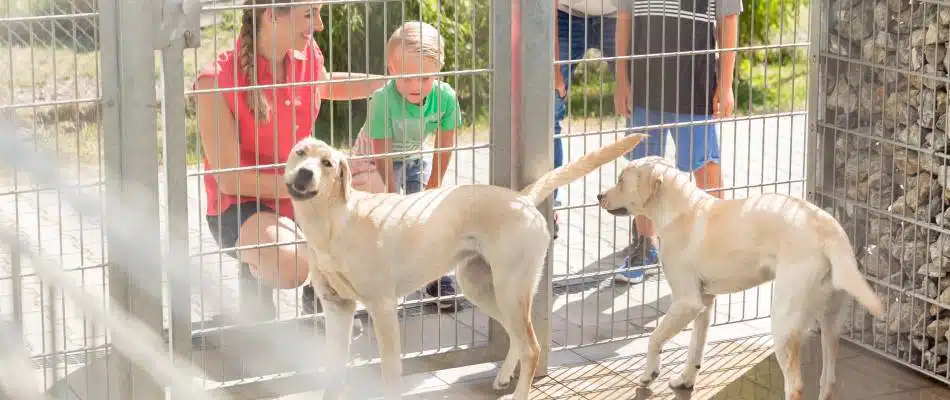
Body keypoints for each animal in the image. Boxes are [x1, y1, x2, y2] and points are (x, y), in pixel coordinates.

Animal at [284, 133, 656, 398]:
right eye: (300, 152)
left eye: (327, 163)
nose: (304, 173)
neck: (331, 223)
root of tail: (522, 198)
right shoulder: (337, 308)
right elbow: (332, 371)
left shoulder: (382, 308)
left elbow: (390, 374)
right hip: (481, 288)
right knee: (517, 339)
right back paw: (504, 376)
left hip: (509, 290)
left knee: (532, 347)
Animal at [600, 155, 888, 400]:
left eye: (621, 180)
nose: (598, 195)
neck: (681, 209)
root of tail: (828, 228)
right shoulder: (704, 303)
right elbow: (695, 348)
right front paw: (685, 381)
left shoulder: (686, 302)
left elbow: (655, 338)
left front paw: (649, 374)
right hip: (831, 323)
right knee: (828, 380)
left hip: (783, 323)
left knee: (795, 385)